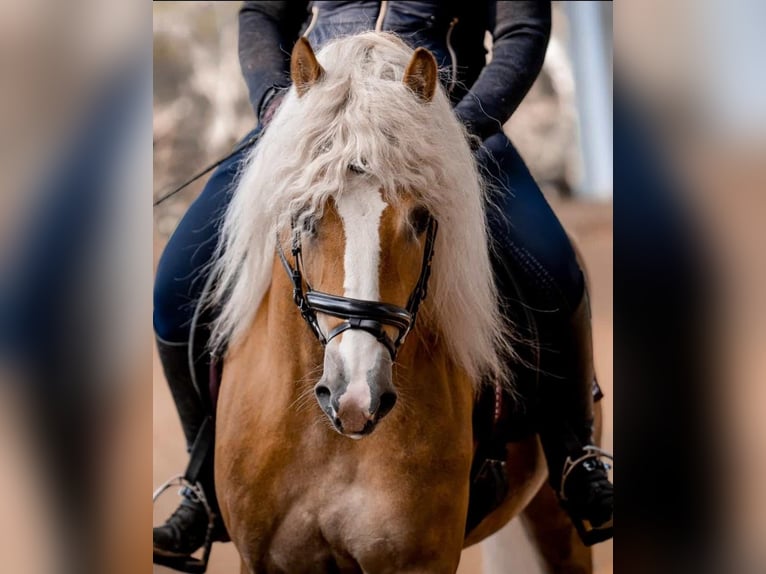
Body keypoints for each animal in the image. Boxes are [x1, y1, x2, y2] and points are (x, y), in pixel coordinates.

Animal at [210, 32, 600, 574]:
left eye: (420, 219)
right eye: (305, 216)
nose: (357, 395)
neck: (334, 441)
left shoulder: (418, 561)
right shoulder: (266, 562)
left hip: (558, 520)